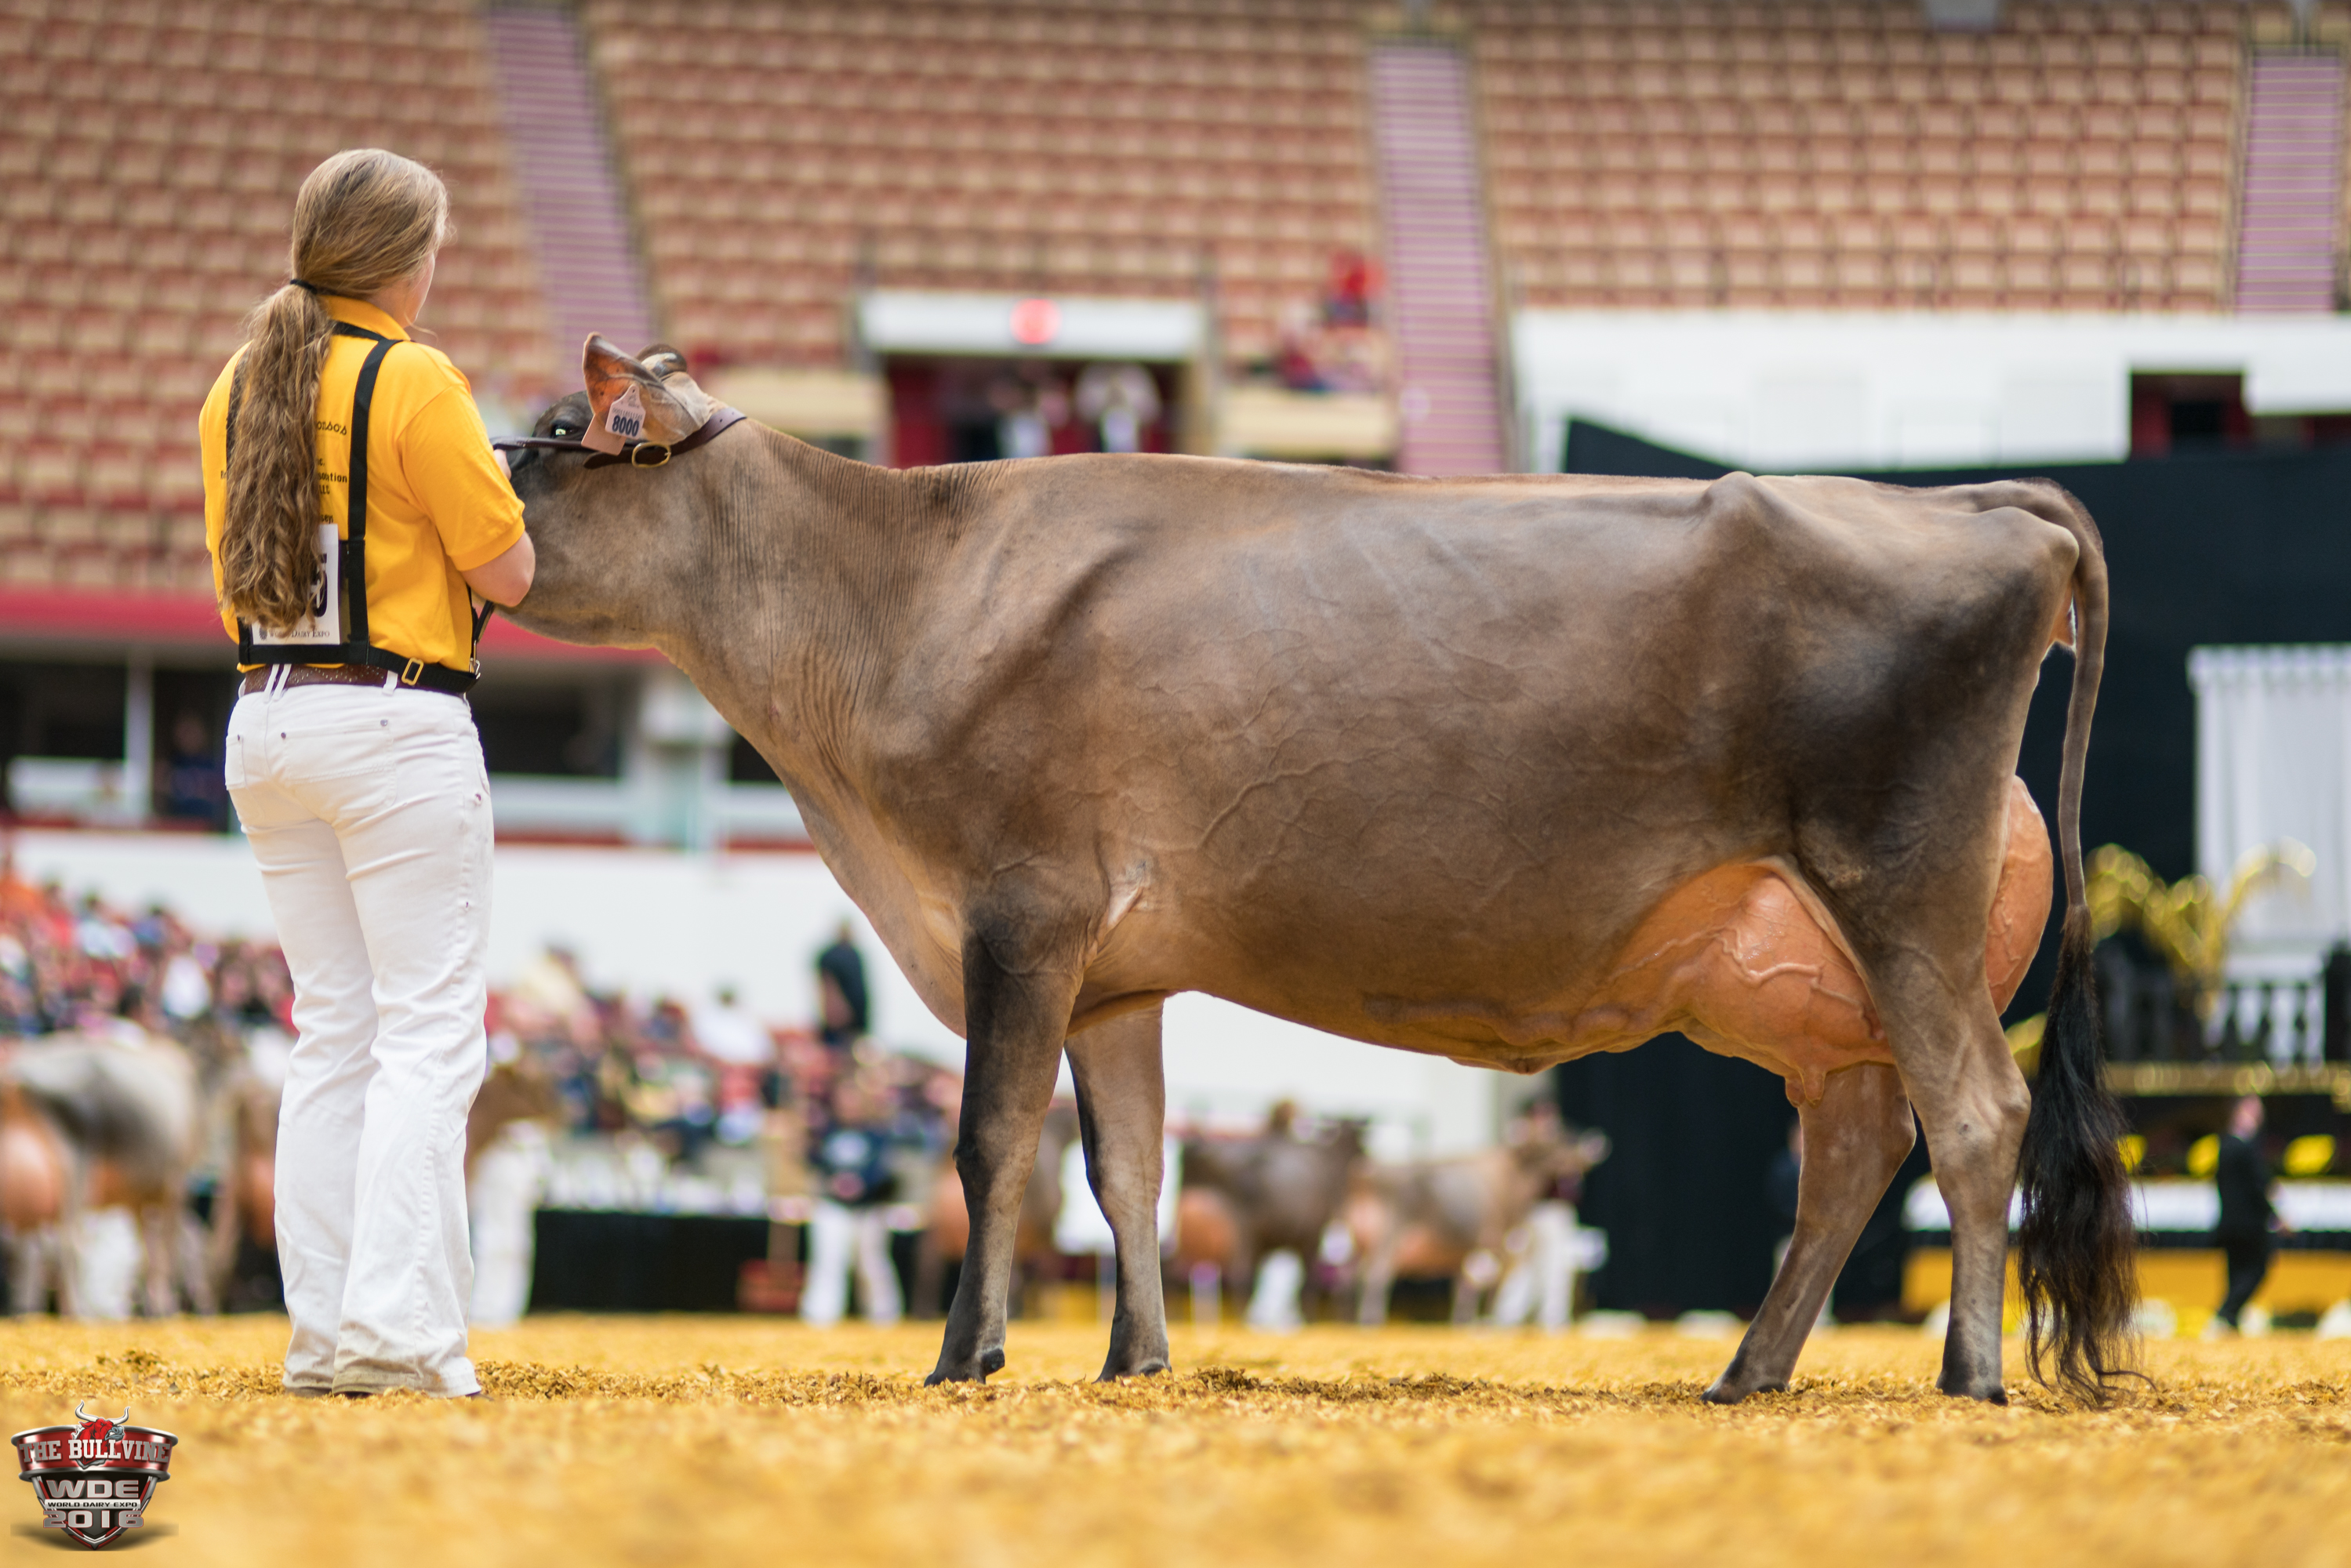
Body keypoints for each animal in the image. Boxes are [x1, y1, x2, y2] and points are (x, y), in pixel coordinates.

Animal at [496, 338, 2134, 1403]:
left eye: (546, 440)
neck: (897, 596)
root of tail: (1969, 500)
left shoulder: (1021, 909)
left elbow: (991, 1147)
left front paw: (965, 1359)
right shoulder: (1113, 971)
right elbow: (1126, 1166)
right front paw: (1134, 1358)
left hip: (1900, 890)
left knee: (1972, 1116)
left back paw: (1965, 1375)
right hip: (1808, 971)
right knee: (1856, 1143)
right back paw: (1749, 1372)